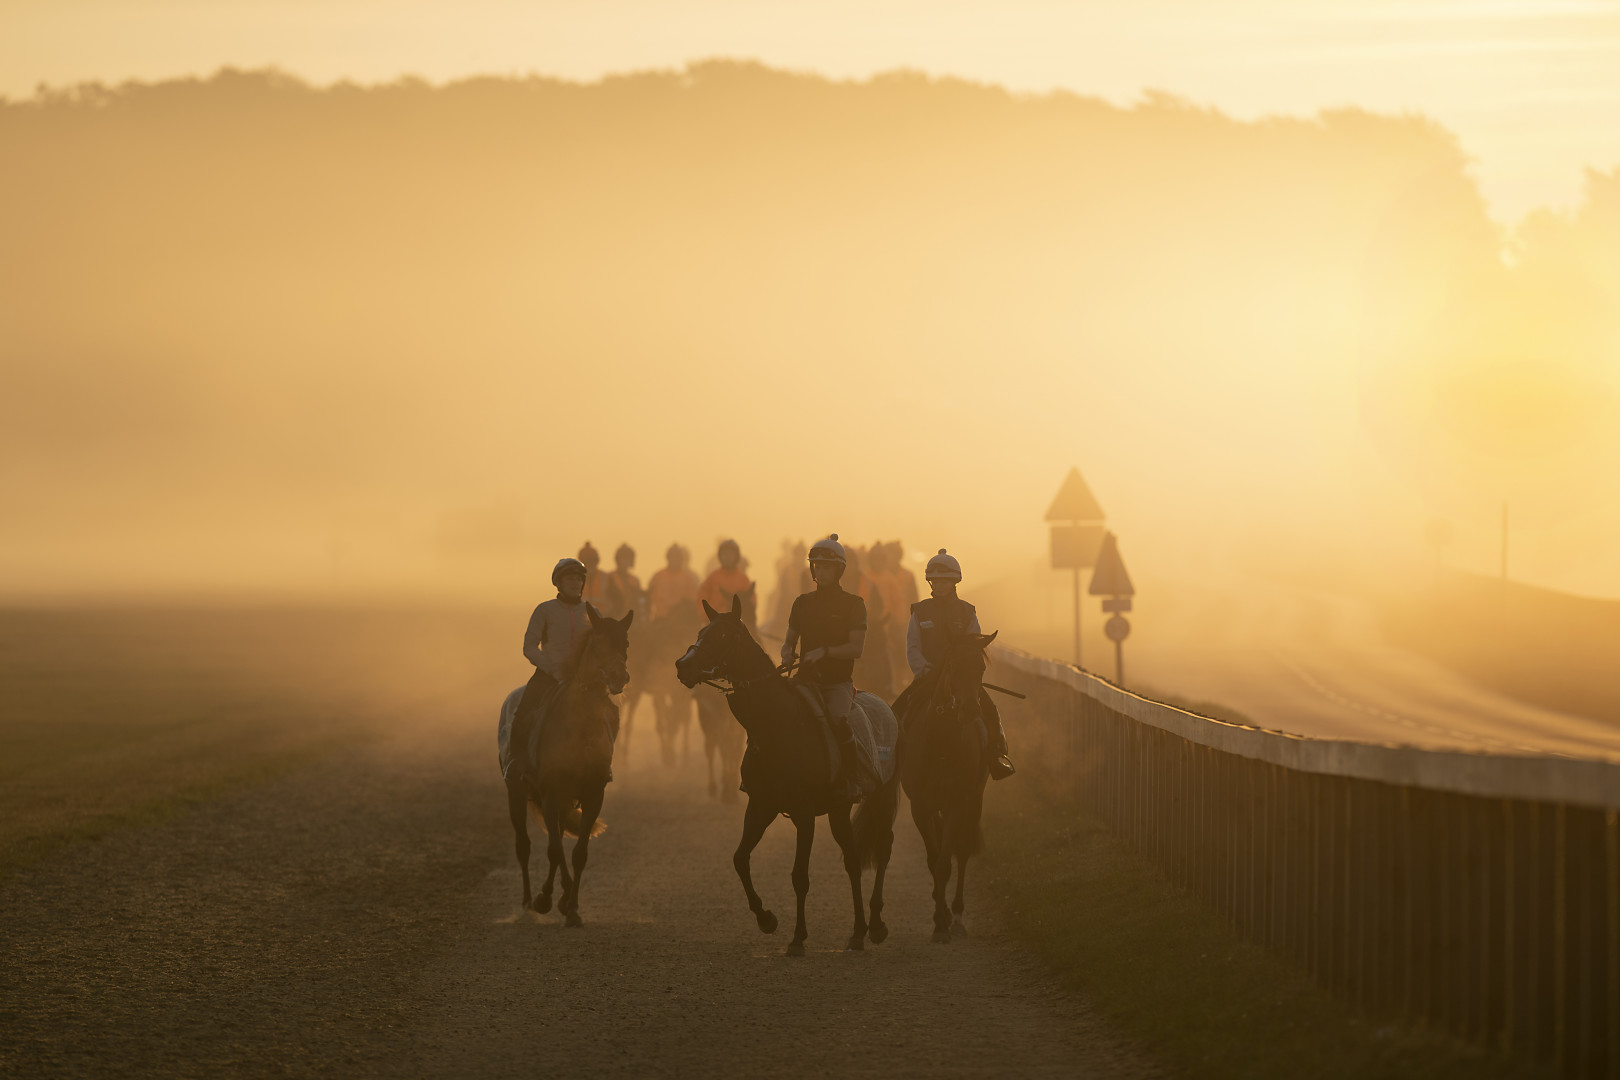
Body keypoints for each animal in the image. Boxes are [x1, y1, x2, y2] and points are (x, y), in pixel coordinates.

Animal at [498, 606, 632, 926]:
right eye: (597, 644)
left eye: (625, 643)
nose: (619, 677)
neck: (580, 730)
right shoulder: (550, 794)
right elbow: (554, 849)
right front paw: (548, 899)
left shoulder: (593, 795)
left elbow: (578, 853)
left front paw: (571, 908)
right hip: (515, 792)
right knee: (524, 845)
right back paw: (528, 902)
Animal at [676, 594, 900, 955]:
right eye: (700, 631)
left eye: (724, 636)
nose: (683, 665)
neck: (775, 725)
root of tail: (887, 706)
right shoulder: (761, 805)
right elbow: (740, 858)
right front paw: (767, 919)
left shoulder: (804, 813)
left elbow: (799, 876)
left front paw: (797, 938)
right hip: (839, 808)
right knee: (852, 860)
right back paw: (857, 931)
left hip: (880, 795)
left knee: (883, 845)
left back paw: (876, 924)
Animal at [895, 629, 998, 943]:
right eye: (953, 665)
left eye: (981, 668)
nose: (970, 710)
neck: (941, 740)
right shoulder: (921, 806)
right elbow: (933, 859)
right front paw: (938, 919)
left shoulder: (957, 803)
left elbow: (945, 862)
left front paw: (945, 921)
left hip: (975, 800)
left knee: (960, 853)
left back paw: (958, 915)